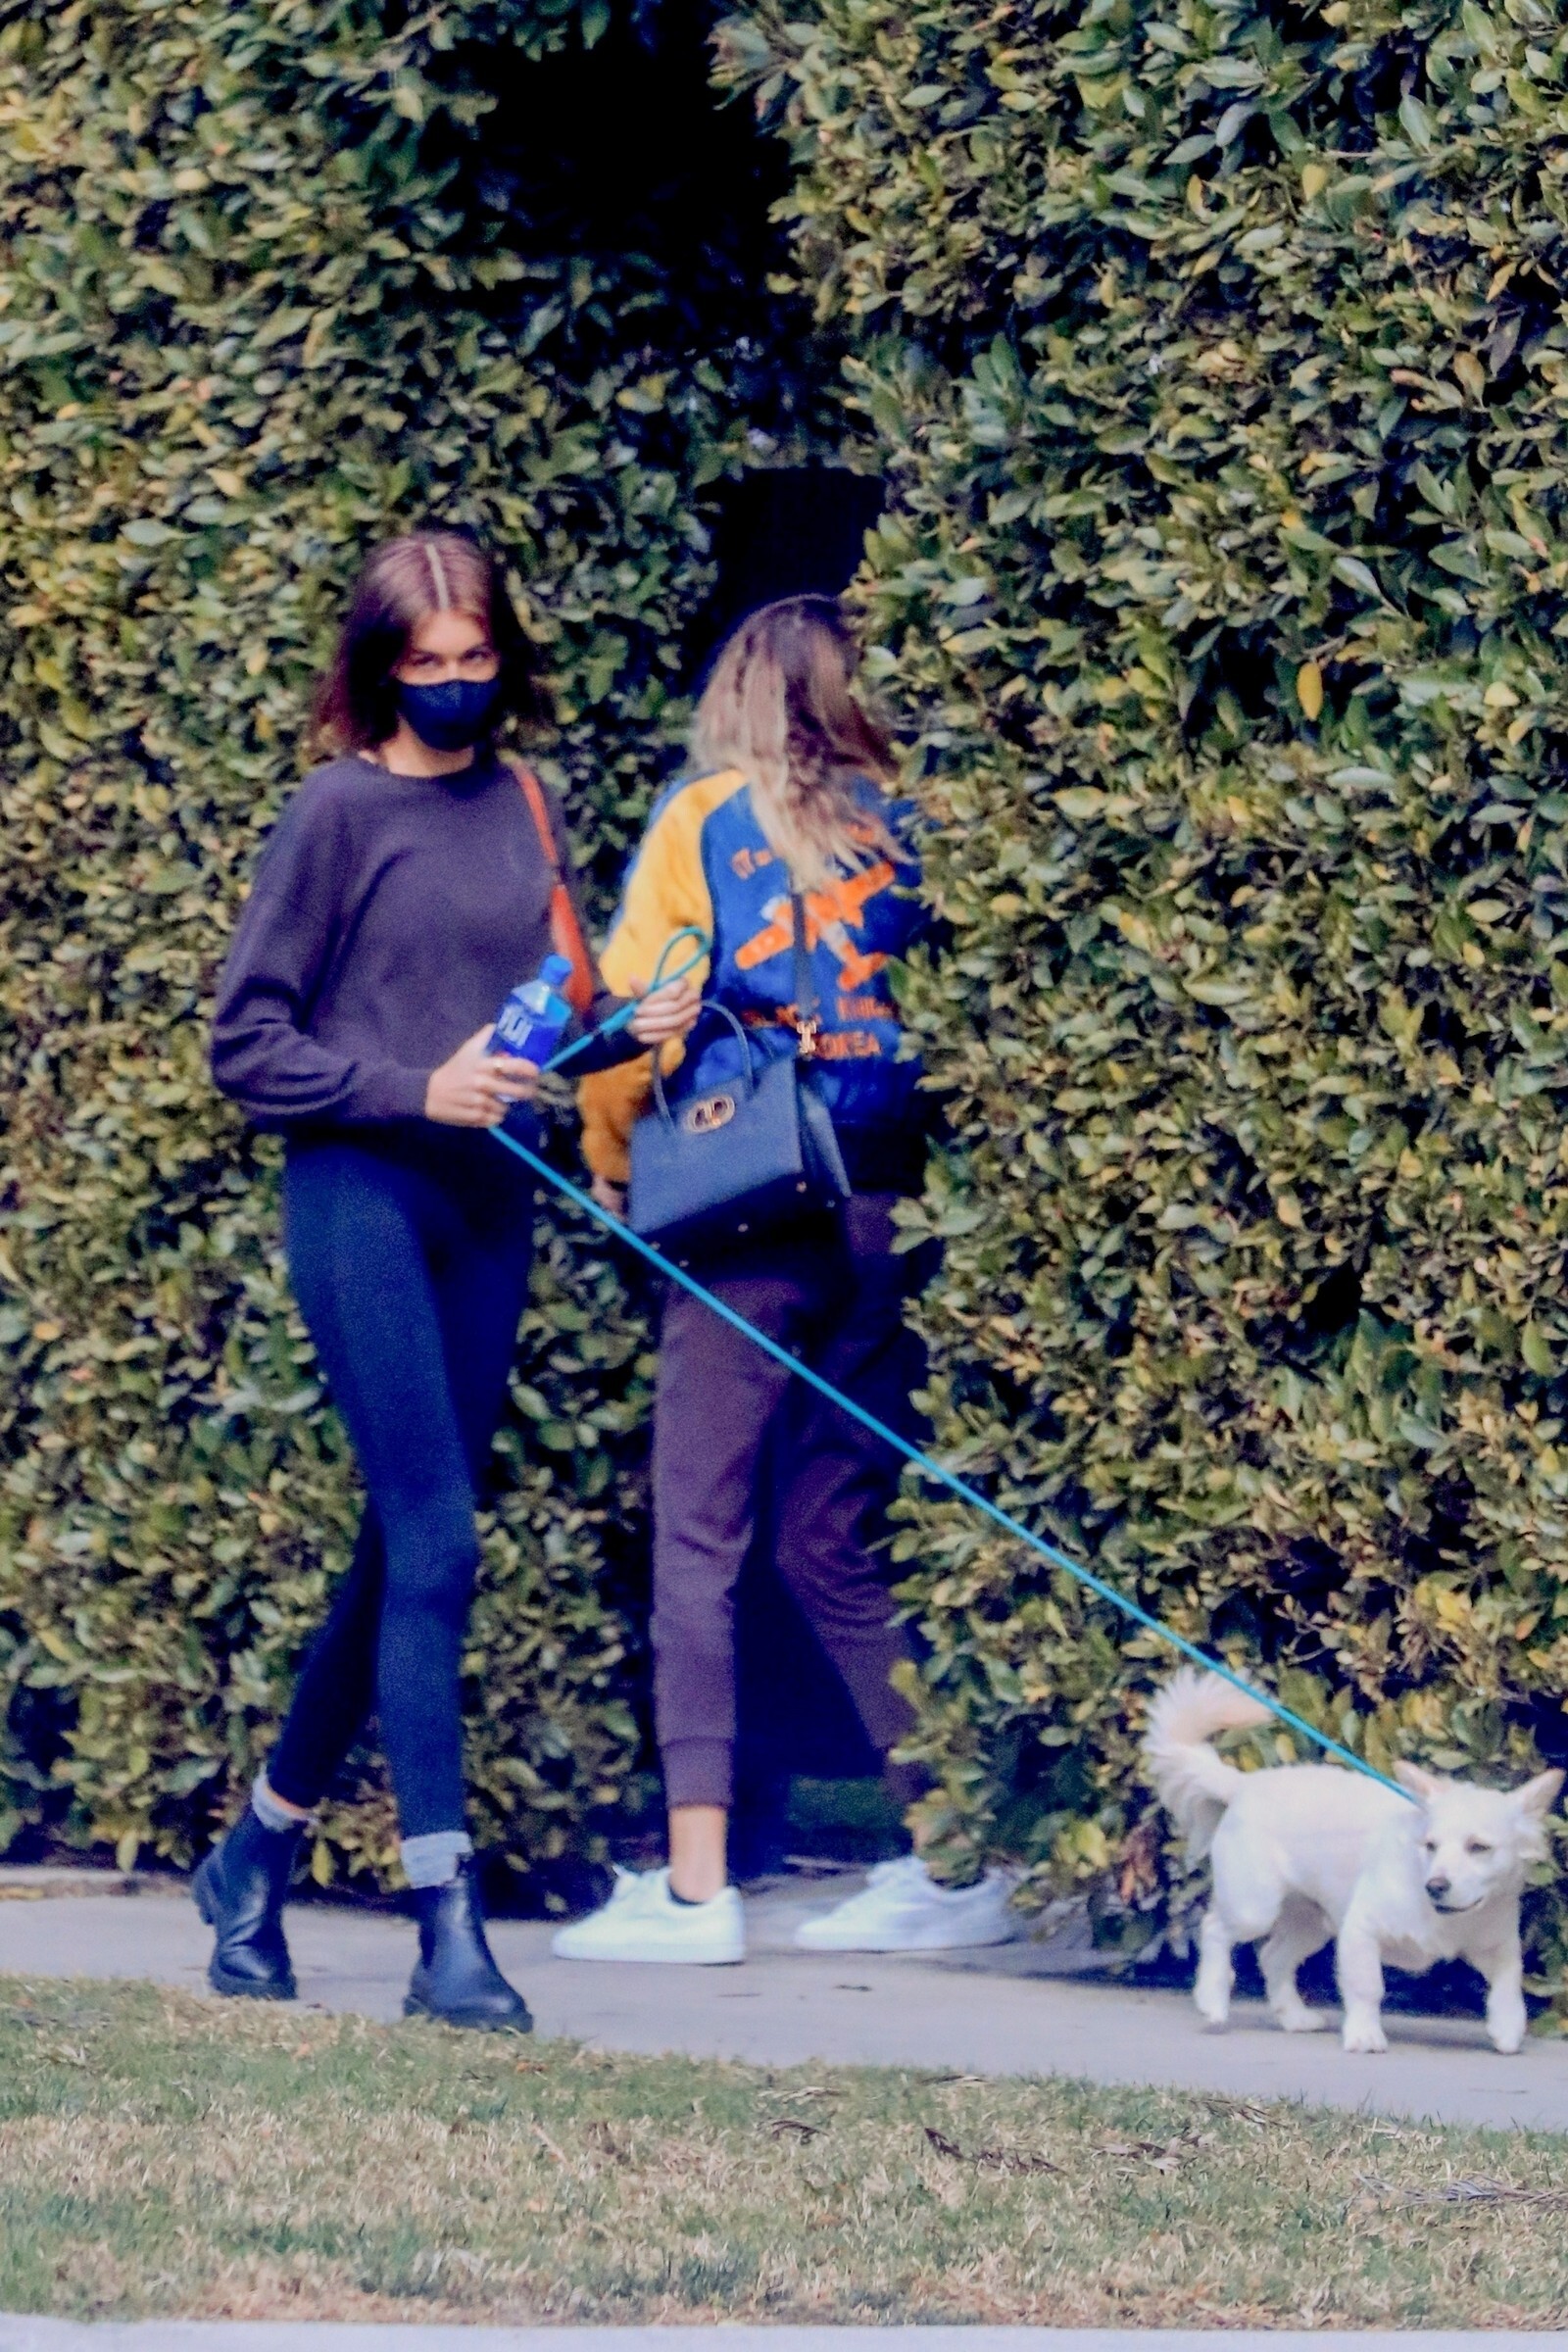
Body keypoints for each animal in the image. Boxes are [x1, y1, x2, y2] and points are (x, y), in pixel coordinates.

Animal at [1144, 1669, 1562, 2054]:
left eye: (1479, 1847)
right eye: (1430, 1846)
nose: (1436, 1886)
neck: (1449, 1918)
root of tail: (1244, 1783)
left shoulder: (1498, 1946)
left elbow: (1509, 1984)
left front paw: (1507, 2027)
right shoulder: (1361, 1931)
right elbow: (1367, 1987)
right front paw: (1364, 2034)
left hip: (1311, 1923)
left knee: (1272, 1957)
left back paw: (1294, 2017)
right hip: (1254, 1908)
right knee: (1214, 1929)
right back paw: (1212, 2000)